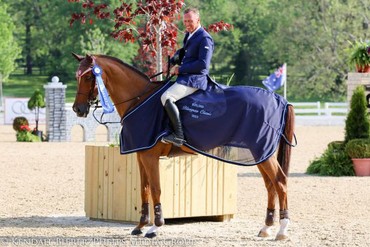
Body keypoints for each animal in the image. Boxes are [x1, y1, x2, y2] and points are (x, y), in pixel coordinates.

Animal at [72, 53, 294, 239]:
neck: (139, 99)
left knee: (280, 182)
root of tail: (280, 99)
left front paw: (155, 227)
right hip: (260, 154)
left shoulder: (150, 157)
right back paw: (265, 228)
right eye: (77, 77)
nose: (78, 109)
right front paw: (140, 226)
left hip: (263, 152)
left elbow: (156, 189)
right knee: (270, 185)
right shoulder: (140, 155)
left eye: (89, 77)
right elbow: (144, 189)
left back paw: (282, 230)